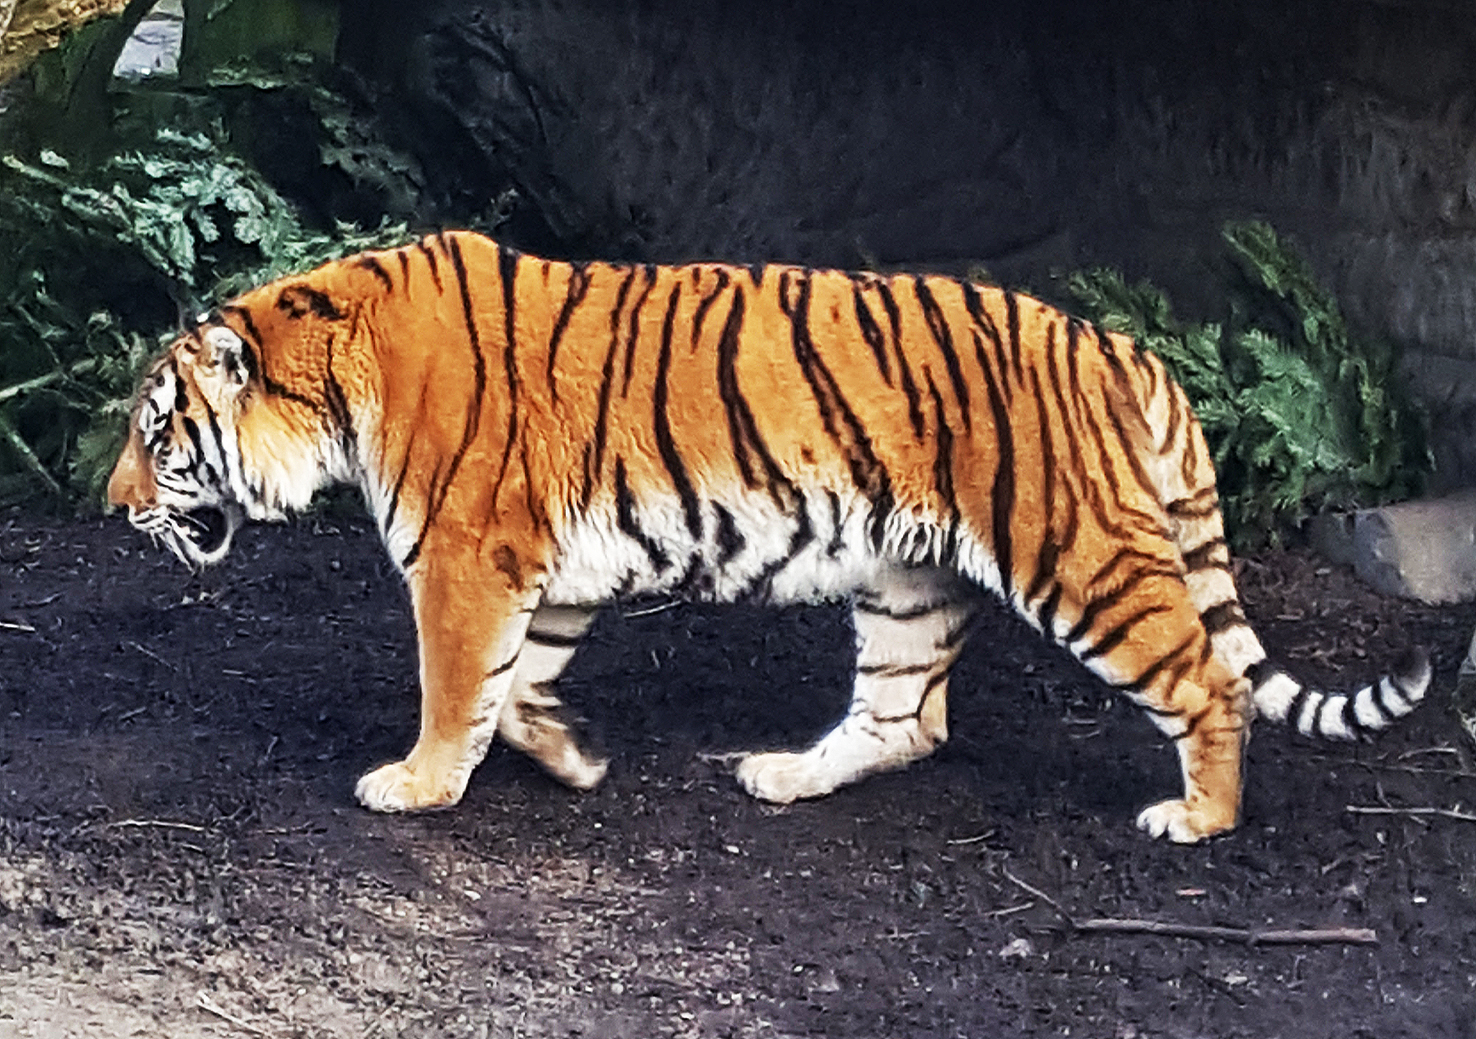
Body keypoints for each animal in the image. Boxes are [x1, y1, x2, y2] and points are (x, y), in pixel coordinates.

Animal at [107, 228, 1428, 844]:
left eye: (157, 432)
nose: (114, 504)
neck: (335, 374)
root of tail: (1128, 348)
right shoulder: (548, 569)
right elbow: (518, 681)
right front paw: (567, 755)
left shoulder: (468, 560)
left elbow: (453, 683)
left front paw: (419, 784)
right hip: (907, 579)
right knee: (906, 719)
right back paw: (783, 774)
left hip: (1081, 557)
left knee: (1209, 681)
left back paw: (1199, 817)